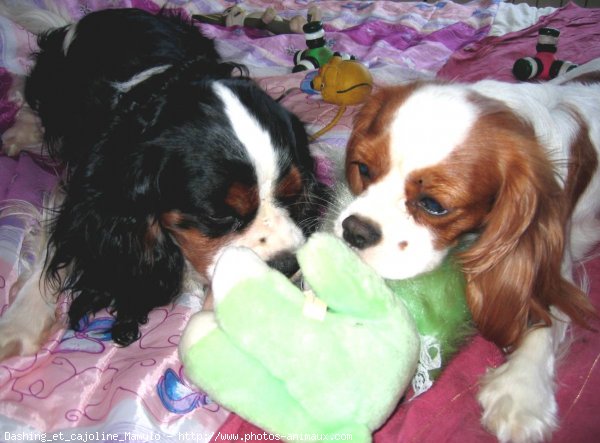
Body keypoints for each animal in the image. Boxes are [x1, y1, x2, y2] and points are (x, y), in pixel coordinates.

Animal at [0, 6, 324, 356]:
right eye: (218, 217)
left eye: (293, 194)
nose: (287, 265)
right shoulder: (86, 190)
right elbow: (58, 241)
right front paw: (20, 321)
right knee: (30, 98)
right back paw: (19, 132)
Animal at [332, 59, 600, 443]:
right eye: (363, 169)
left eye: (433, 205)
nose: (354, 231)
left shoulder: (554, 254)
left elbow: (546, 314)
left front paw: (521, 391)